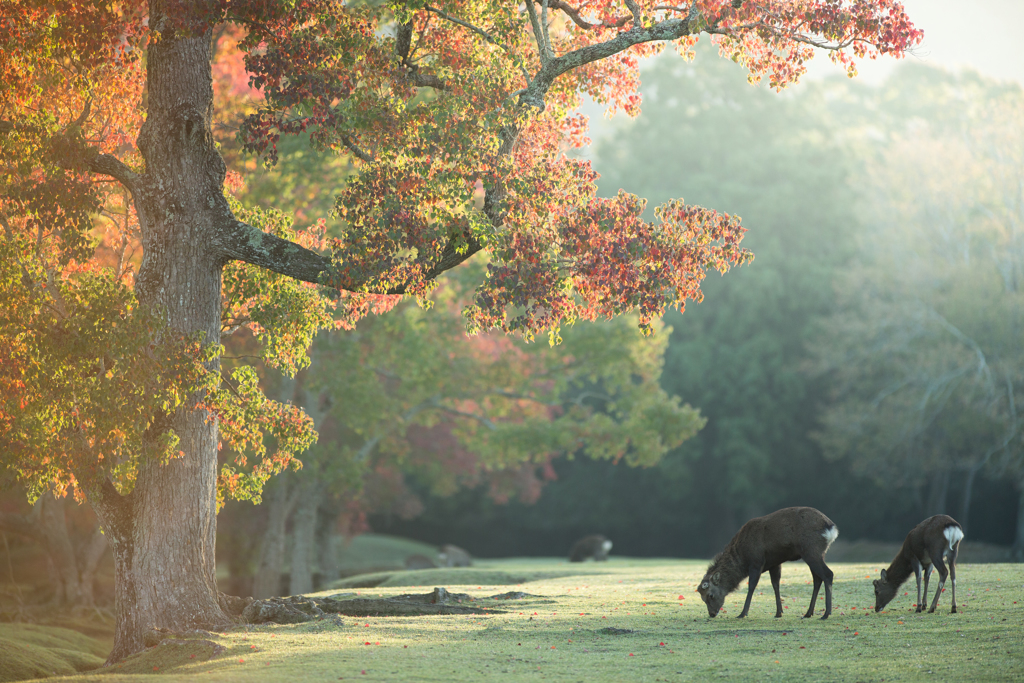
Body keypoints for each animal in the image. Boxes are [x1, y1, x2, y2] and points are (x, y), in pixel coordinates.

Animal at [696, 507, 839, 618]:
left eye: (710, 595)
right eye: (702, 598)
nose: (712, 614)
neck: (742, 558)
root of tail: (831, 528)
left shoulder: (756, 561)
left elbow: (751, 586)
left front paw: (743, 613)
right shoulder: (774, 563)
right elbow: (775, 584)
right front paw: (779, 612)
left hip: (811, 550)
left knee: (828, 574)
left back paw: (826, 613)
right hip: (816, 553)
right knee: (817, 579)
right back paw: (808, 613)